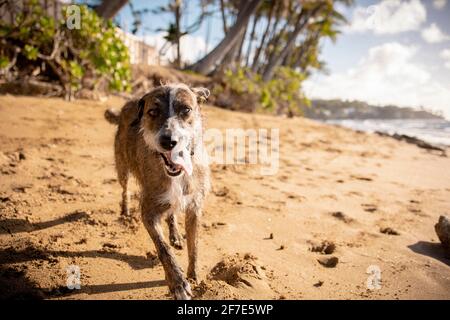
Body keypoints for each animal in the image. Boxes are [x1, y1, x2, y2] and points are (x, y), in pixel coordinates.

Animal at [104, 84, 210, 298]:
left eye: (186, 109)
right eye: (153, 112)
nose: (168, 141)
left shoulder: (194, 207)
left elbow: (194, 246)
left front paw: (194, 275)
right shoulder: (148, 212)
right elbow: (163, 248)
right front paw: (178, 283)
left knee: (171, 213)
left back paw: (175, 234)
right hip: (122, 166)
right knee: (125, 189)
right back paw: (125, 210)